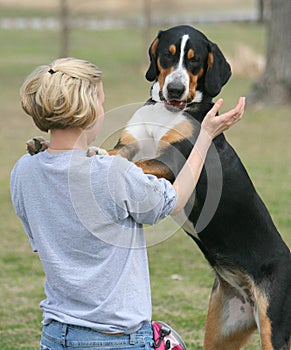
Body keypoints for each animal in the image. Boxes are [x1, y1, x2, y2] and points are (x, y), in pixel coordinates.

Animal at [26, 25, 290, 350]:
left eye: (195, 60)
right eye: (168, 54)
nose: (175, 89)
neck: (167, 111)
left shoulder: (173, 163)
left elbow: (136, 164)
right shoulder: (127, 145)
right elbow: (117, 154)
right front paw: (43, 144)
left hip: (273, 327)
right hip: (221, 330)